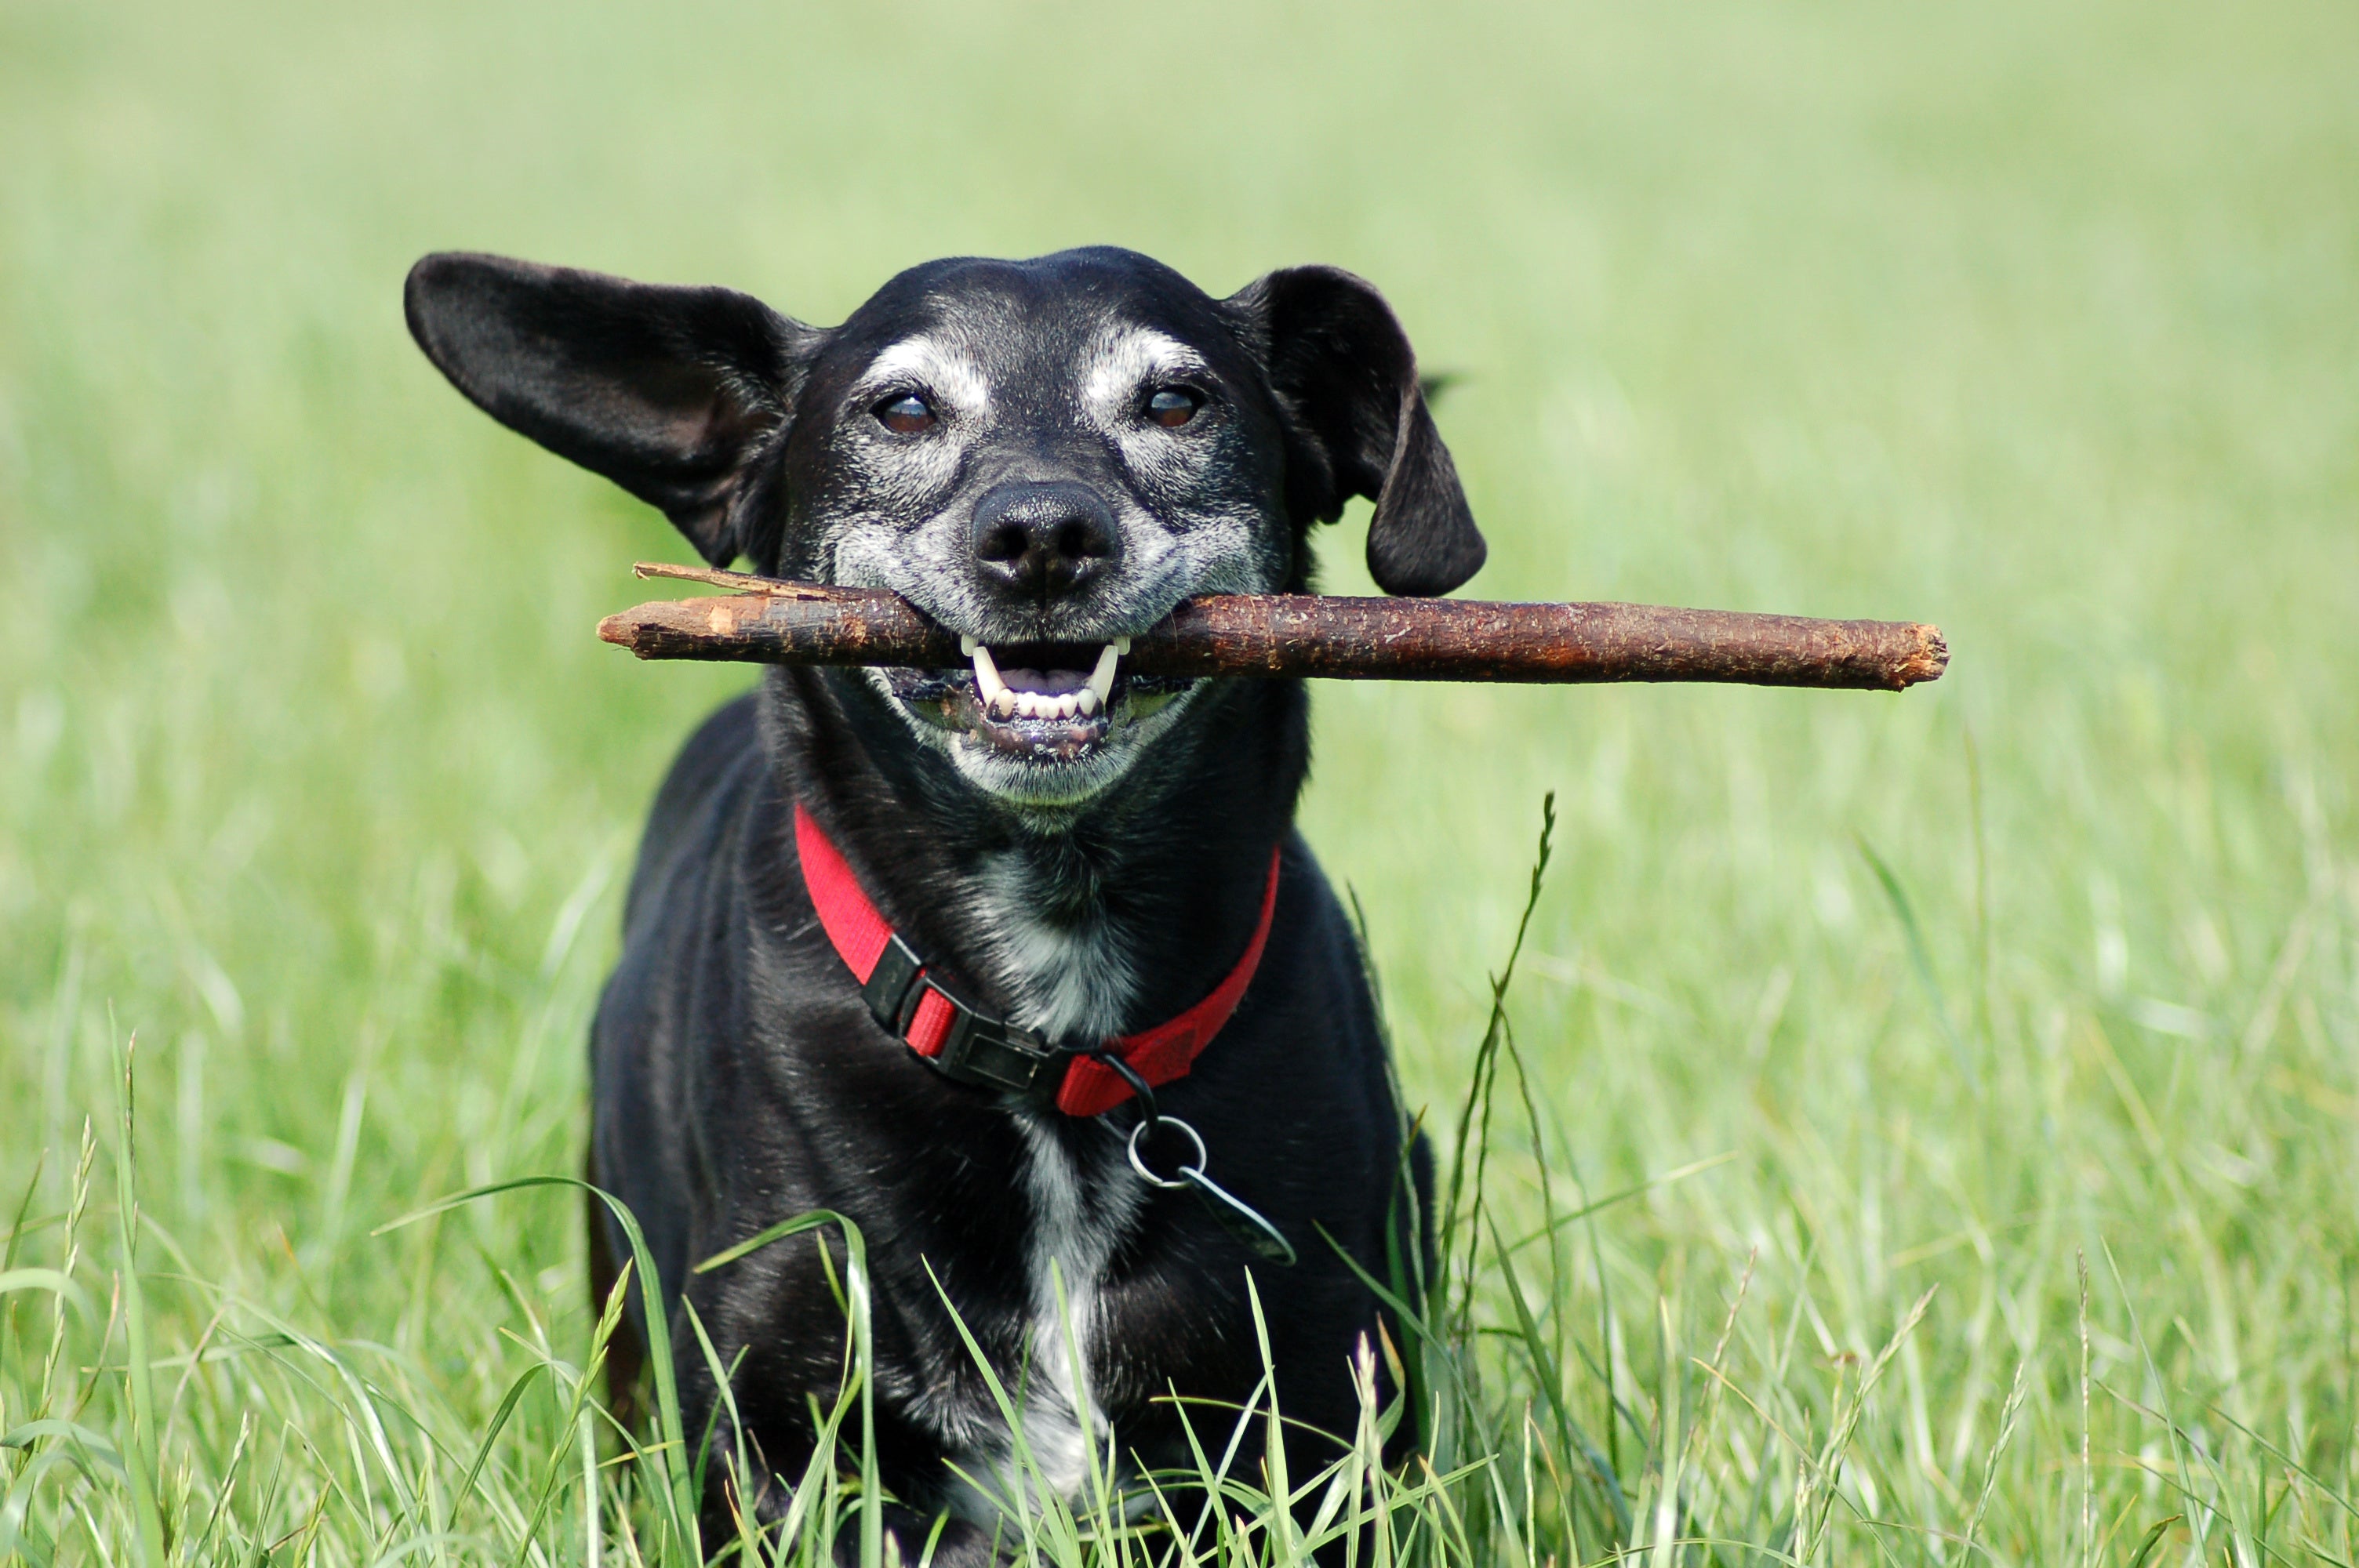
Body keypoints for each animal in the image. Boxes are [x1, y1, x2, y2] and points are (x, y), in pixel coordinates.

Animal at [401, 247, 1471, 1555]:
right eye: (903, 409)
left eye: (1177, 402)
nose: (1044, 533)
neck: (1054, 1043)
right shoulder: (776, 1447)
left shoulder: (1324, 1429)